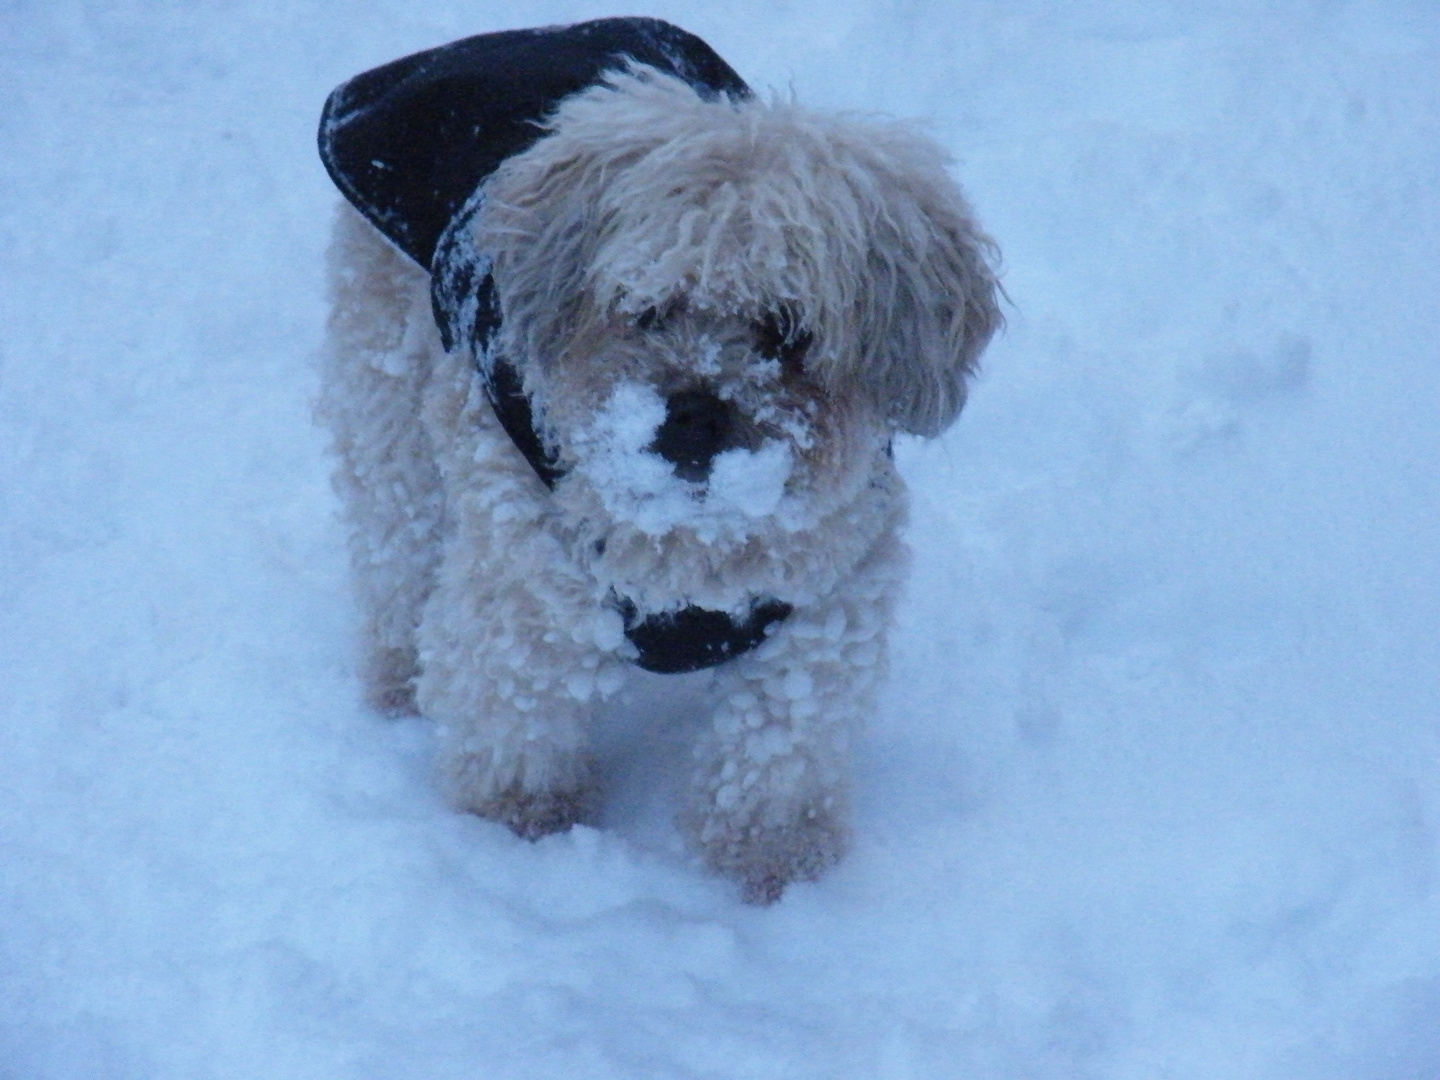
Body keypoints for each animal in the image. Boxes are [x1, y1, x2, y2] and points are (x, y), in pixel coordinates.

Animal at [316, 19, 996, 904]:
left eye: (787, 331)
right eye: (646, 310)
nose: (696, 413)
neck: (697, 529)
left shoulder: (821, 615)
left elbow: (775, 751)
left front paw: (772, 866)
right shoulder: (523, 598)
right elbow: (516, 720)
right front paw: (521, 835)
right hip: (390, 401)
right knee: (396, 552)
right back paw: (399, 677)